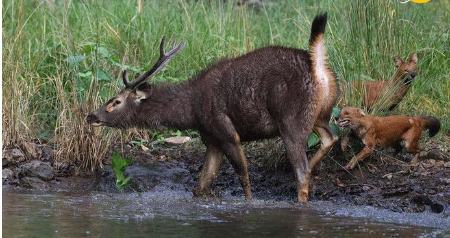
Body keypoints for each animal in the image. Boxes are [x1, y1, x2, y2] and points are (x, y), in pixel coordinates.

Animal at [86, 13, 338, 203]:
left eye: (116, 102)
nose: (91, 116)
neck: (191, 111)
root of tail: (318, 69)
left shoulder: (226, 132)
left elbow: (244, 177)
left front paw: (249, 203)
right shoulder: (212, 140)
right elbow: (201, 186)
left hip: (291, 121)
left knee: (302, 171)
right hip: (321, 115)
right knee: (330, 139)